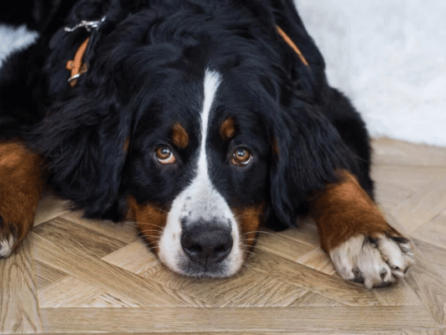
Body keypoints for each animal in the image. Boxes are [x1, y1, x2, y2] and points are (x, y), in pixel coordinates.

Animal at [0, 0, 414, 288]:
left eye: (242, 154)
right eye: (163, 153)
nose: (208, 245)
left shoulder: (331, 106)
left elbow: (337, 172)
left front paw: (365, 234)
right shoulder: (27, 74)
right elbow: (18, 142)